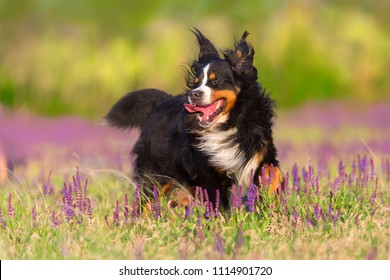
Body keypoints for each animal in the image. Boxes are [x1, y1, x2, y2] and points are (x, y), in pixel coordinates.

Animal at [105, 29, 284, 208]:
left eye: (215, 81)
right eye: (197, 83)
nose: (194, 94)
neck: (228, 124)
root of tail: (161, 102)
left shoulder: (260, 151)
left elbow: (273, 172)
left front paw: (272, 196)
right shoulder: (207, 171)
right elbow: (218, 203)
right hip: (155, 175)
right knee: (146, 202)